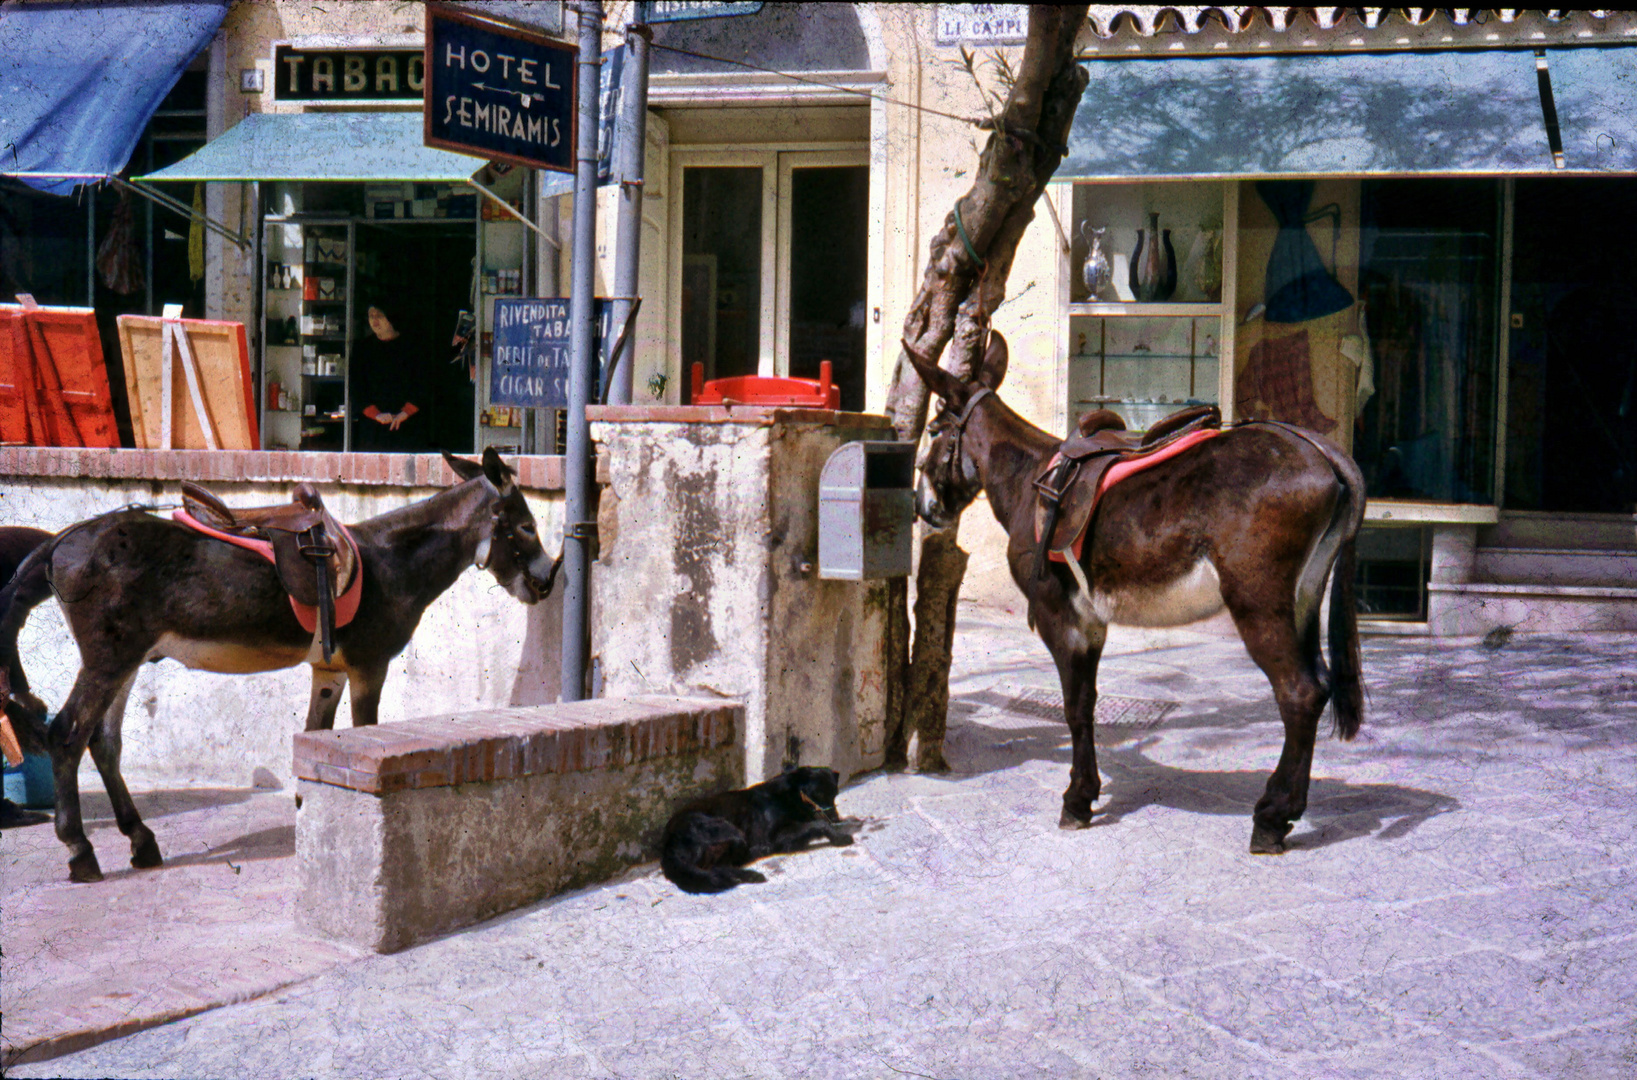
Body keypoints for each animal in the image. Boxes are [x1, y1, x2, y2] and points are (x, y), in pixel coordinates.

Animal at [658, 769, 857, 896]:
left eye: (834, 795)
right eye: (818, 794)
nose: (835, 817)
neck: (792, 794)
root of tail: (667, 845)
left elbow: (815, 824)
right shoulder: (778, 836)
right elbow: (818, 824)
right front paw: (839, 837)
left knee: (720, 867)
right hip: (730, 831)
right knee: (719, 867)